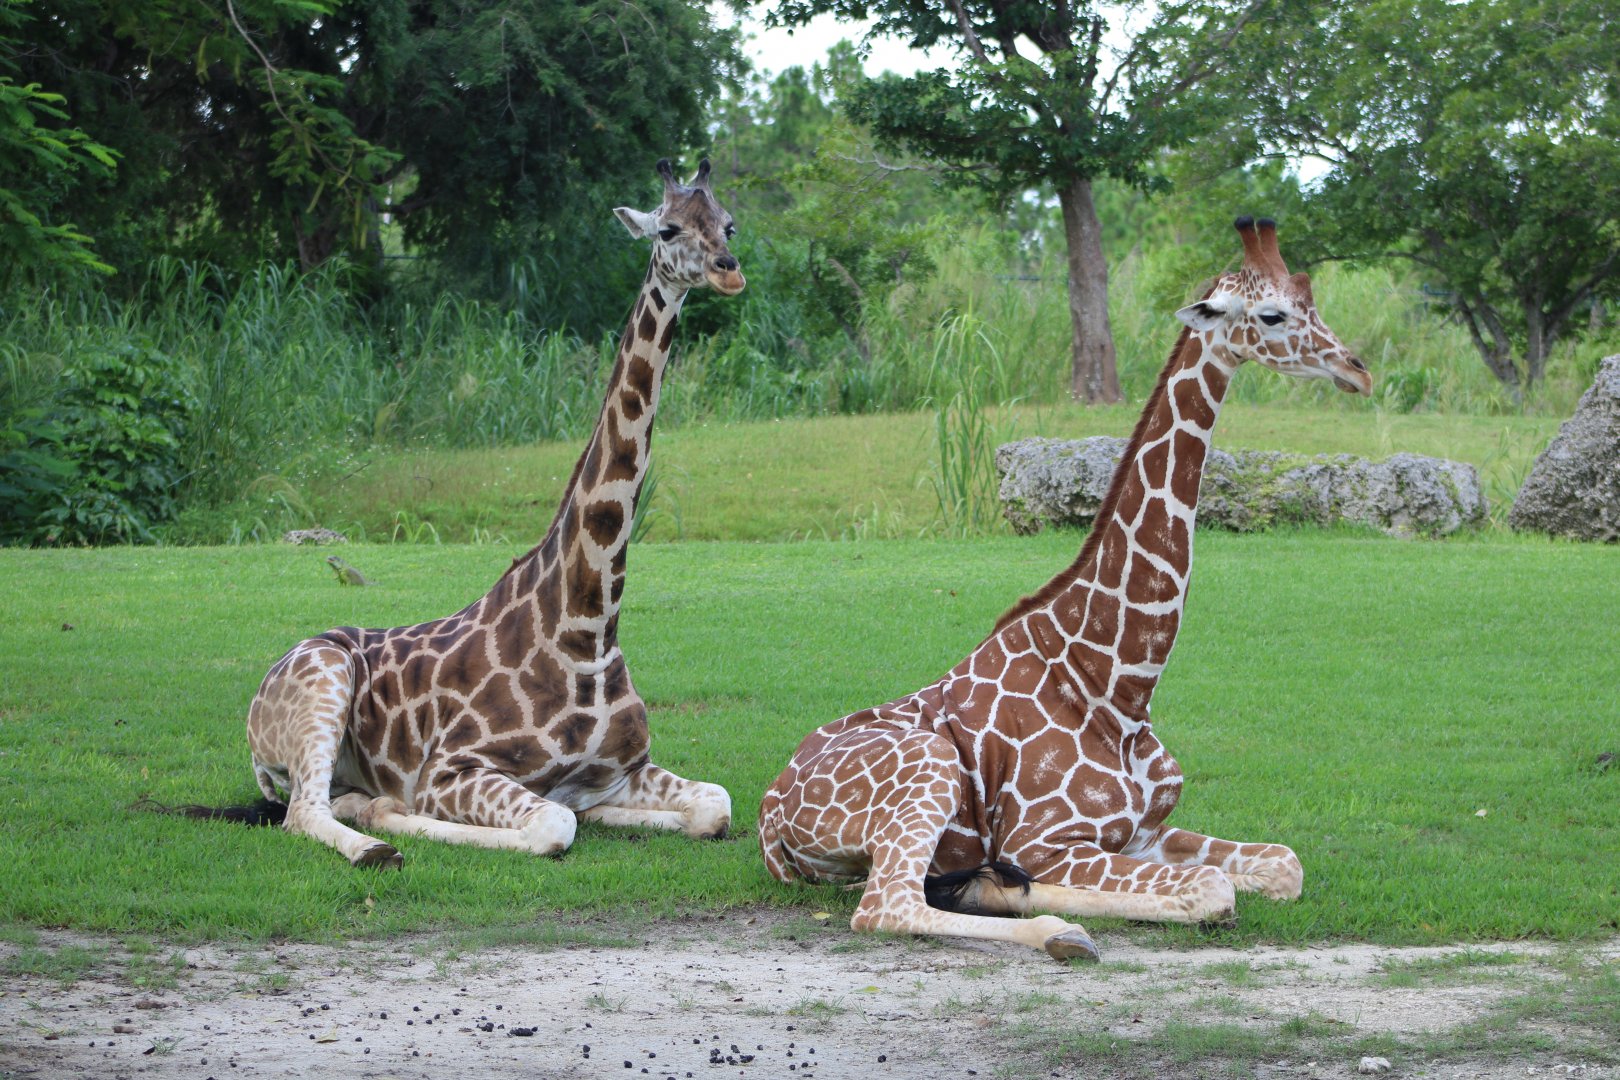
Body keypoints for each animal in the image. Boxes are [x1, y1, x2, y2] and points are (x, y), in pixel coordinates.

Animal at [237, 159, 743, 868]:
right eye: (667, 228)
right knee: (303, 811)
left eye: (728, 222)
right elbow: (555, 823)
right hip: (323, 680)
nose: (728, 268)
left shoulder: (621, 769)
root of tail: (257, 701)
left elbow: (713, 805)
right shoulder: (454, 768)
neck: (586, 629)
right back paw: (376, 836)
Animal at [758, 217, 1373, 960]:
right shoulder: (1048, 838)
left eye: (1312, 298)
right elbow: (1212, 889)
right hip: (931, 766)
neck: (1119, 683)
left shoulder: (1142, 831)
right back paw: (1059, 930)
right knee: (886, 904)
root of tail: (770, 817)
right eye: (1273, 314)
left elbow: (1285, 864)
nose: (1358, 369)